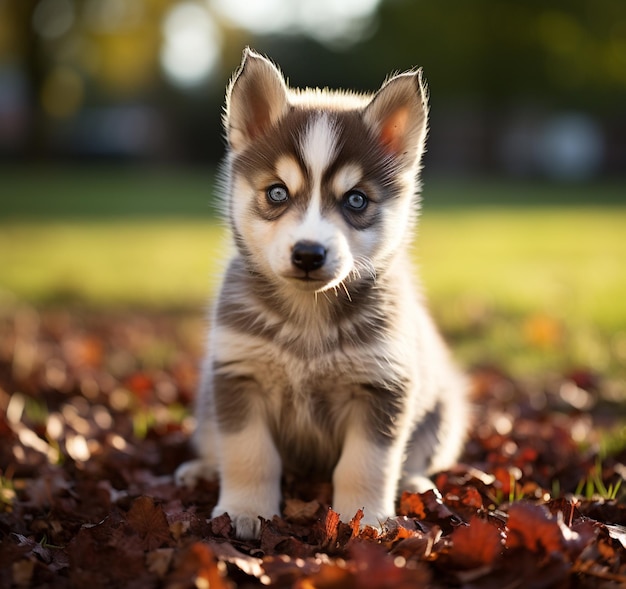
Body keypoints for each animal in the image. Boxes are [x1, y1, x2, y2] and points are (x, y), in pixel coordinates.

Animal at [173, 48, 466, 540]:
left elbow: (366, 464)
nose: (308, 253)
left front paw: (365, 519)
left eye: (356, 200)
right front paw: (244, 510)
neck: (308, 317)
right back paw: (202, 469)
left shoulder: (383, 386)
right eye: (277, 192)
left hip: (442, 413)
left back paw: (417, 483)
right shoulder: (238, 375)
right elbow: (249, 455)